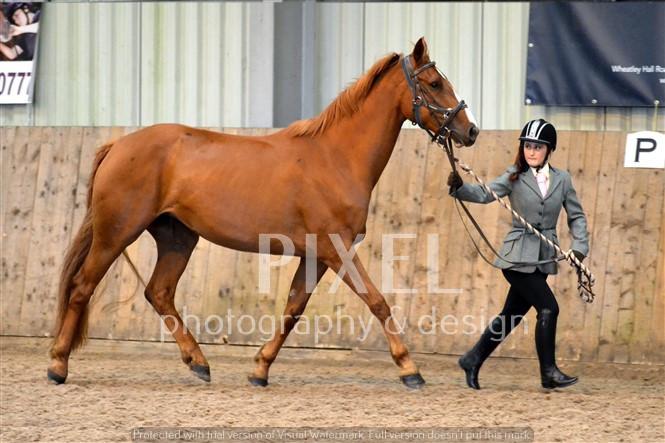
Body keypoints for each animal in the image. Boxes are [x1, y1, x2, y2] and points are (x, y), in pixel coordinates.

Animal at [48, 36, 478, 388]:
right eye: (435, 84)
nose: (471, 130)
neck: (336, 158)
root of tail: (117, 146)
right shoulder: (337, 250)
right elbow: (377, 302)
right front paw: (410, 369)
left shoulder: (315, 255)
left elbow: (292, 309)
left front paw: (260, 369)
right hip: (116, 233)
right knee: (82, 287)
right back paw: (58, 366)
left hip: (177, 237)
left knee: (159, 292)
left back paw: (198, 362)